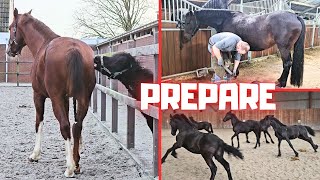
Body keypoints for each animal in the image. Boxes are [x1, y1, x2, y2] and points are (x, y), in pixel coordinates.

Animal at [6, 8, 95, 177]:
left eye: (10, 27)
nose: (9, 50)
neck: (43, 44)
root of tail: (74, 49)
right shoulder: (67, 98)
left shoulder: (38, 95)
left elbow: (39, 122)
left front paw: (35, 155)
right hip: (83, 98)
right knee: (76, 126)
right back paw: (76, 164)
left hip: (56, 98)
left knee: (65, 126)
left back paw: (69, 168)